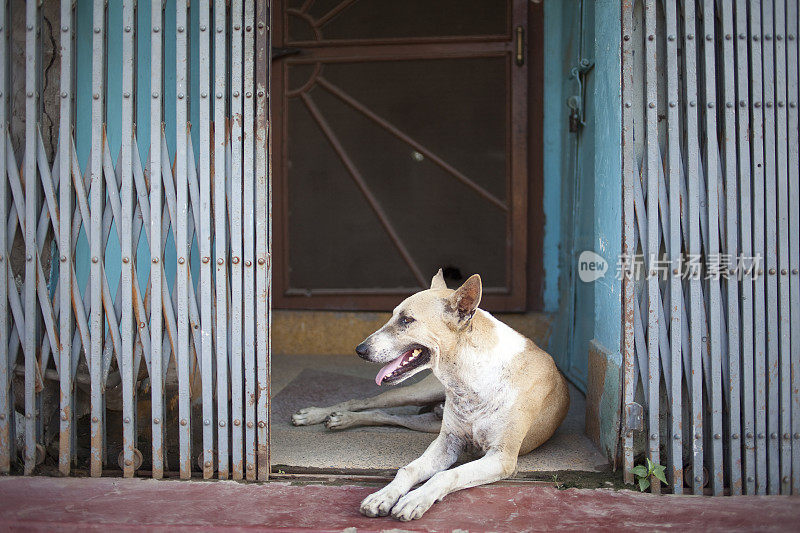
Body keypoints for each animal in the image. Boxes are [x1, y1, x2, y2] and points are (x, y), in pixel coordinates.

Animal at [290, 270, 564, 520]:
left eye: (407, 320)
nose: (360, 350)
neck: (470, 376)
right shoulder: (447, 443)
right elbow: (409, 470)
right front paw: (383, 495)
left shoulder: (501, 457)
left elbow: (448, 474)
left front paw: (415, 499)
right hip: (415, 393)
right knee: (368, 401)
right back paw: (318, 415)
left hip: (426, 424)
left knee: (388, 416)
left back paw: (341, 418)